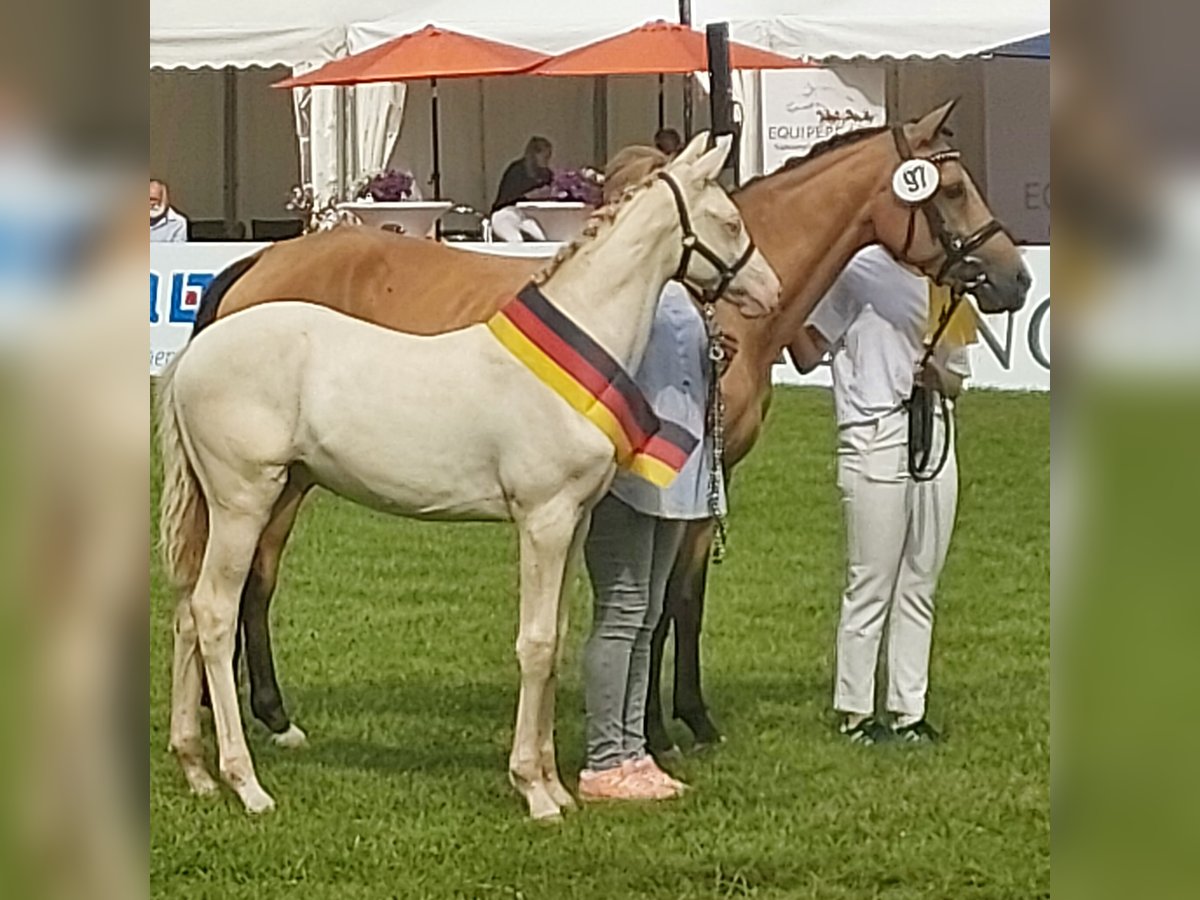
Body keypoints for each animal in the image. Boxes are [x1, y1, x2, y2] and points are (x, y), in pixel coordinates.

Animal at [157, 132, 777, 816]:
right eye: (728, 219)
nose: (769, 291)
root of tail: (195, 353)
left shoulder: (573, 523)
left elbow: (556, 638)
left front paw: (555, 785)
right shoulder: (543, 519)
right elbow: (535, 644)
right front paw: (534, 791)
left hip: (223, 504)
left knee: (187, 611)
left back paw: (195, 768)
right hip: (245, 500)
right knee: (215, 612)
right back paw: (246, 783)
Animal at [192, 100, 1027, 753]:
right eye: (952, 187)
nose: (1014, 279)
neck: (704, 307)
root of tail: (260, 263)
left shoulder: (710, 482)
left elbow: (684, 600)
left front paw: (692, 718)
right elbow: (655, 607)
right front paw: (659, 730)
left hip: (293, 477)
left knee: (247, 577)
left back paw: (252, 714)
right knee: (243, 578)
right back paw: (246, 716)